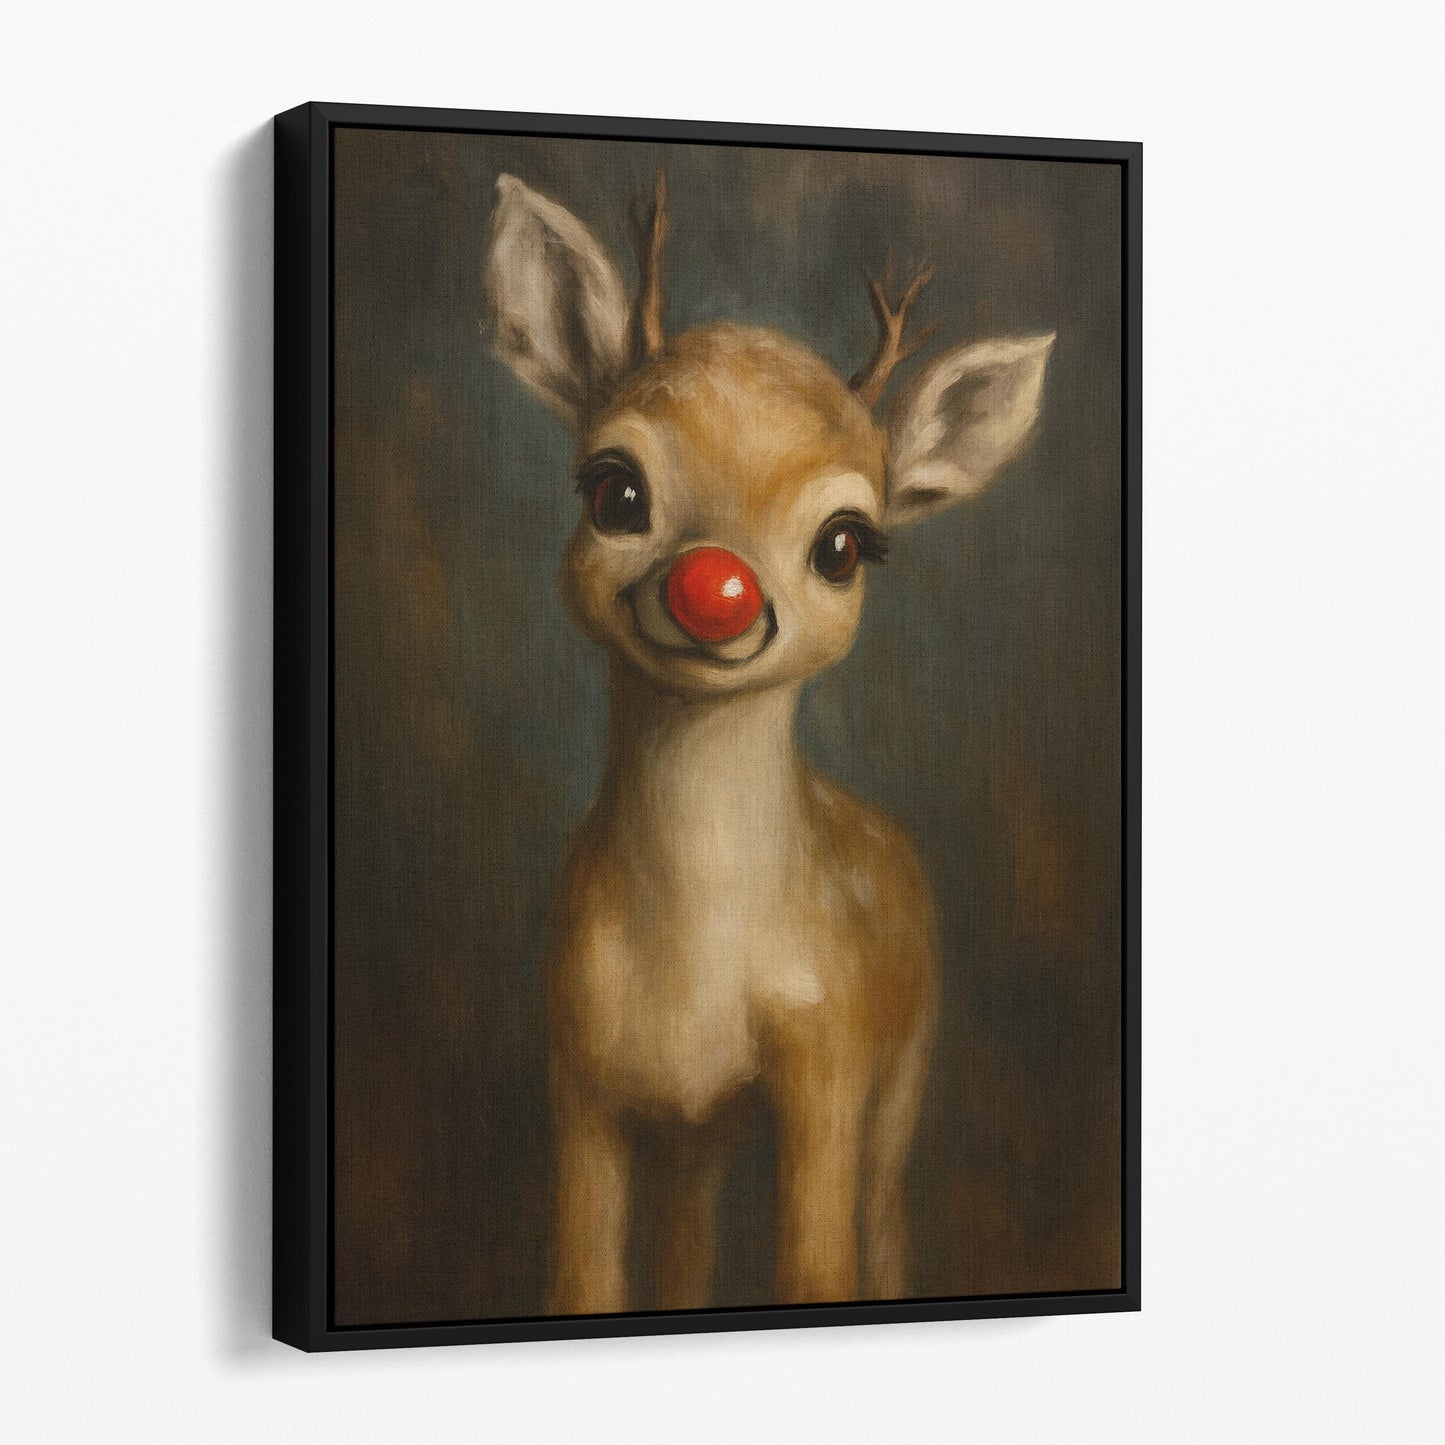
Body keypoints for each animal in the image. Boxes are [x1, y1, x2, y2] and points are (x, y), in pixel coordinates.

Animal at [483, 170, 1054, 1314]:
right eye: (613, 486)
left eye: (844, 543)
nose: (716, 591)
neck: (695, 953)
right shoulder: (580, 1069)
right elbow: (583, 1278)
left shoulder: (826, 1058)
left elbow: (818, 1264)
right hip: (697, 1129)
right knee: (688, 1244)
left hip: (904, 1066)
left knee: (881, 1219)